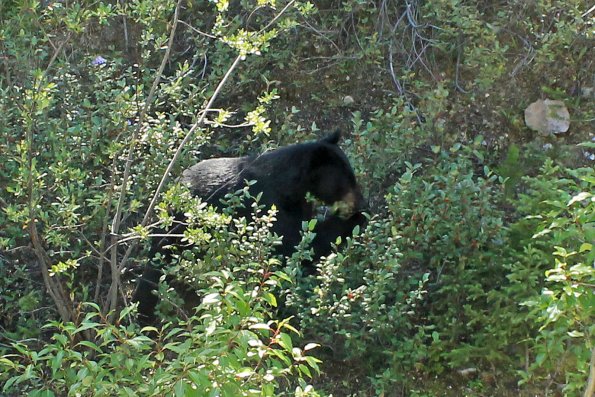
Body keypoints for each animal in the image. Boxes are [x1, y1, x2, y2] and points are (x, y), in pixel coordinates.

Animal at [133, 131, 366, 324]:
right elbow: (294, 245)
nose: (361, 202)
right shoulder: (267, 204)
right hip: (179, 228)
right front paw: (356, 219)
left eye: (352, 176)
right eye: (346, 181)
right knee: (156, 266)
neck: (293, 187)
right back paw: (144, 311)